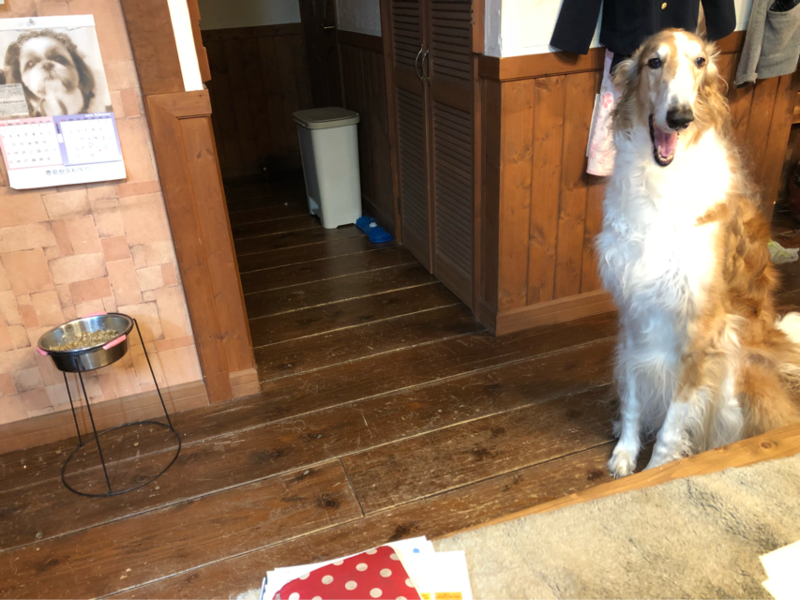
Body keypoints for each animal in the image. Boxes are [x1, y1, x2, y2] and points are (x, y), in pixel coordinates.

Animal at [596, 29, 800, 478]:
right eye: (654, 61)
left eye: (701, 61)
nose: (679, 117)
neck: (661, 183)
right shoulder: (635, 318)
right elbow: (634, 399)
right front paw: (624, 456)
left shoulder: (703, 335)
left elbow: (672, 425)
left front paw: (657, 473)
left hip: (738, 367)